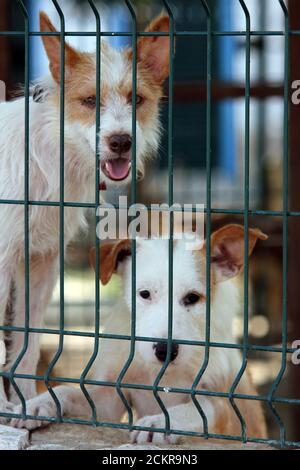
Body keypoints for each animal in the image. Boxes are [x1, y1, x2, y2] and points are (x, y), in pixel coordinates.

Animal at [0, 11, 170, 414]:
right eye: (90, 100)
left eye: (137, 99)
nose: (121, 142)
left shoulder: (41, 262)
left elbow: (28, 343)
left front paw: (28, 404)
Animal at [12, 225, 268, 444]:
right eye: (144, 294)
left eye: (193, 298)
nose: (165, 351)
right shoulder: (108, 400)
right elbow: (67, 391)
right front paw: (38, 402)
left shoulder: (225, 407)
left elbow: (195, 409)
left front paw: (161, 422)